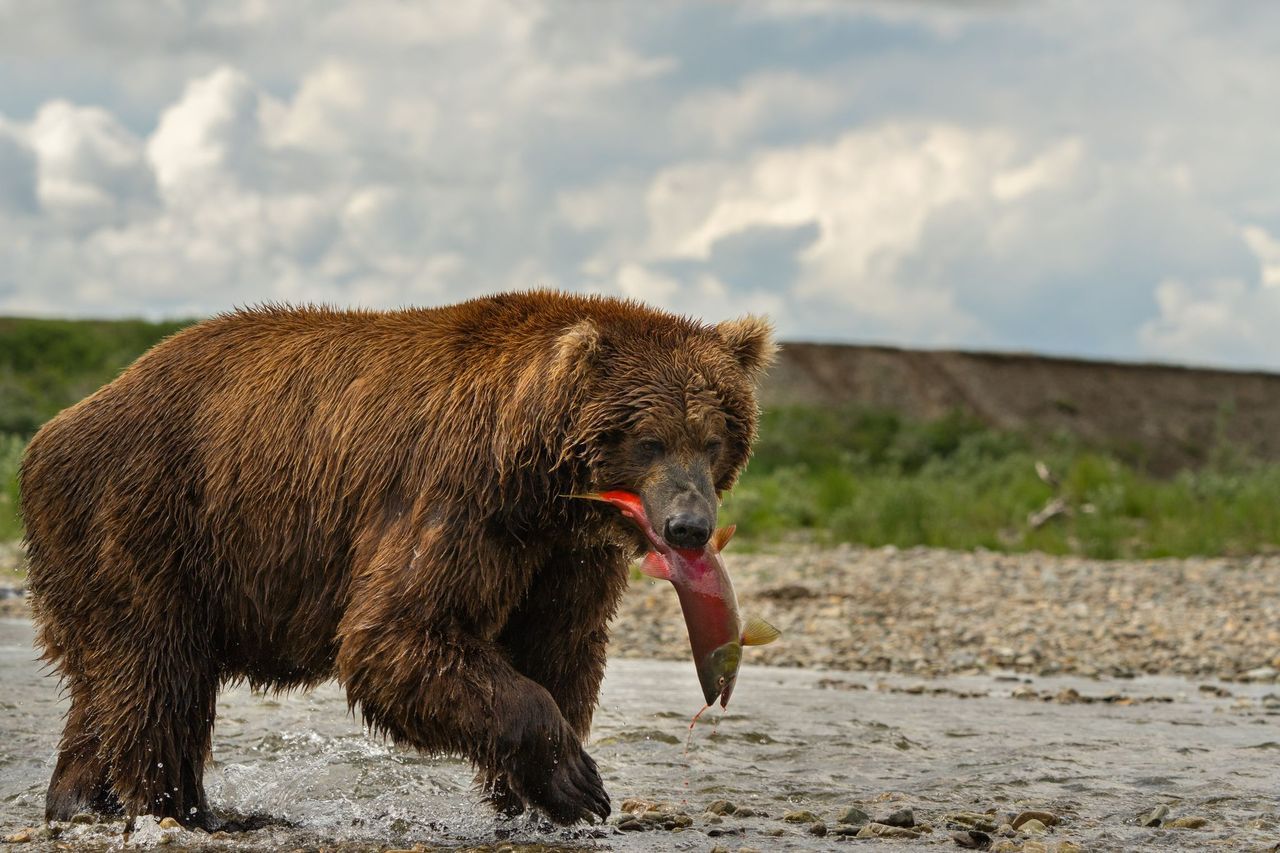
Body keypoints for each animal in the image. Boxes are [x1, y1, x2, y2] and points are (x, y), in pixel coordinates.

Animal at [20, 289, 773, 824]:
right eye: (649, 440)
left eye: (714, 438)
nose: (688, 527)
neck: (535, 479)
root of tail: (54, 429)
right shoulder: (454, 497)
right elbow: (398, 638)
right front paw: (576, 781)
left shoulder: (563, 553)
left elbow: (559, 646)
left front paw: (531, 796)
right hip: (148, 517)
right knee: (159, 671)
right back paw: (187, 807)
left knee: (107, 681)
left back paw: (83, 797)